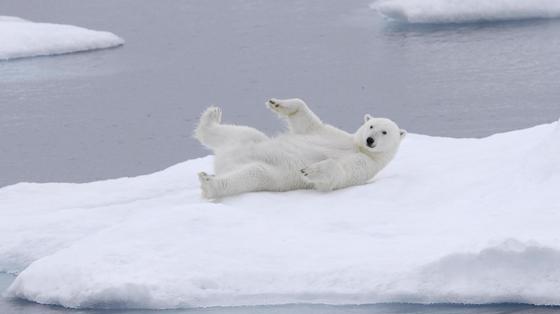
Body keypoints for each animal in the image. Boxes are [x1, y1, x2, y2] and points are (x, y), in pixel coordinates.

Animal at [195, 98, 404, 199]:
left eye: (384, 132)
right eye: (371, 126)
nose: (370, 140)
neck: (358, 147)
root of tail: (224, 162)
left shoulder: (366, 165)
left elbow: (339, 173)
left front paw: (311, 170)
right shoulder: (333, 134)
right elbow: (307, 122)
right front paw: (276, 103)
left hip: (268, 173)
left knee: (250, 175)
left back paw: (209, 184)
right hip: (247, 141)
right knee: (241, 133)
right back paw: (212, 116)